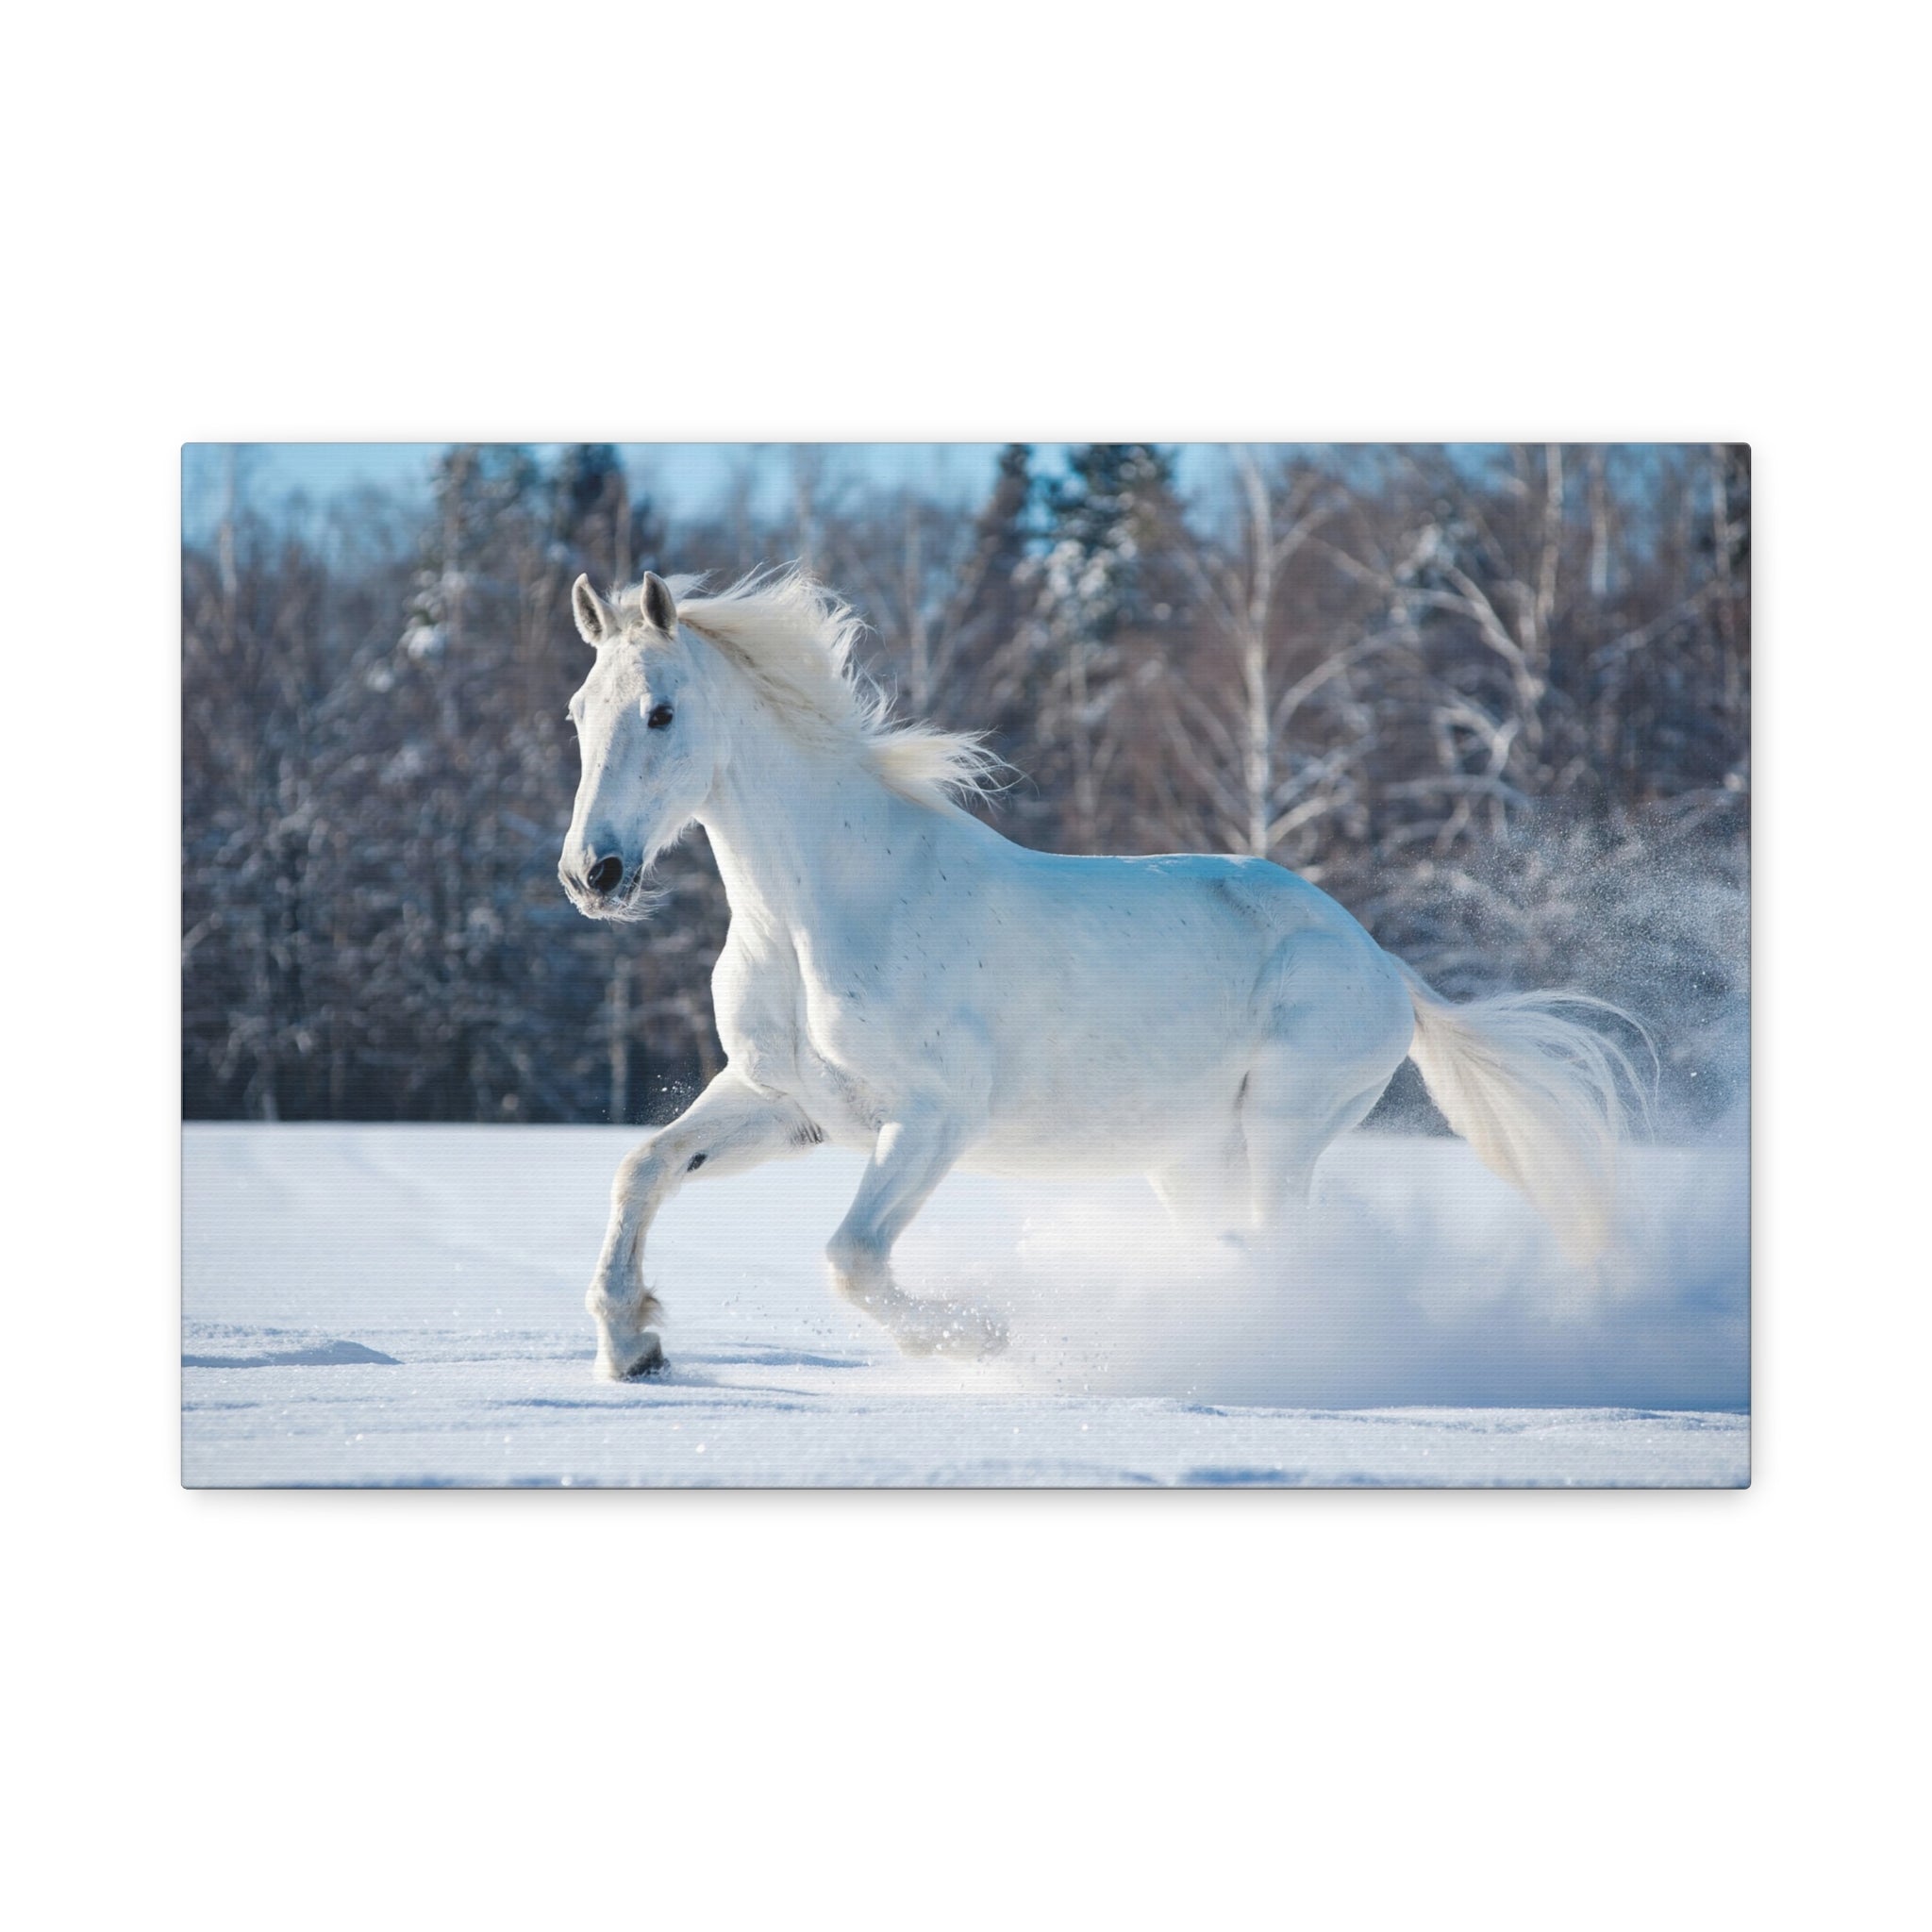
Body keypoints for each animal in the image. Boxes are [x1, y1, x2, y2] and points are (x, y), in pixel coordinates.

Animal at [558, 566, 1645, 1379]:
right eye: (577, 712)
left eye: (660, 712)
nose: (592, 874)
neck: (818, 912)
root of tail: (1382, 964)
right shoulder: (786, 1104)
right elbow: (641, 1168)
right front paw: (635, 1346)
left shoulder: (934, 1115)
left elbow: (851, 1258)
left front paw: (980, 1336)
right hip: (1189, 1158)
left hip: (1284, 1127)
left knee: (1283, 1250)